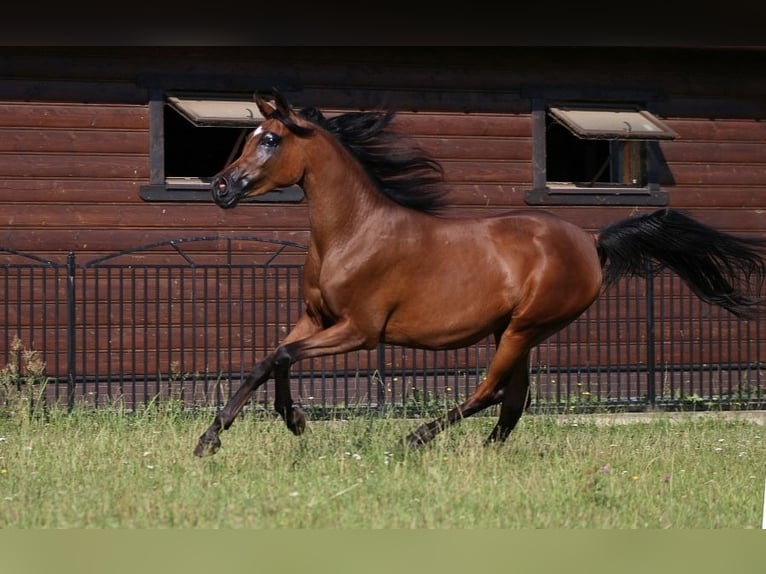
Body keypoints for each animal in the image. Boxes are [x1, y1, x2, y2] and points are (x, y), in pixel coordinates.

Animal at [194, 90, 766, 457]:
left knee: (490, 392)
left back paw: (415, 440)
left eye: (269, 140)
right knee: (513, 401)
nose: (220, 187)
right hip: (516, 331)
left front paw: (290, 423)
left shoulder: (359, 330)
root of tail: (590, 241)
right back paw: (486, 454)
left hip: (525, 327)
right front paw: (214, 438)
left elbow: (280, 357)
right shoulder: (314, 317)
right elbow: (267, 360)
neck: (353, 231)